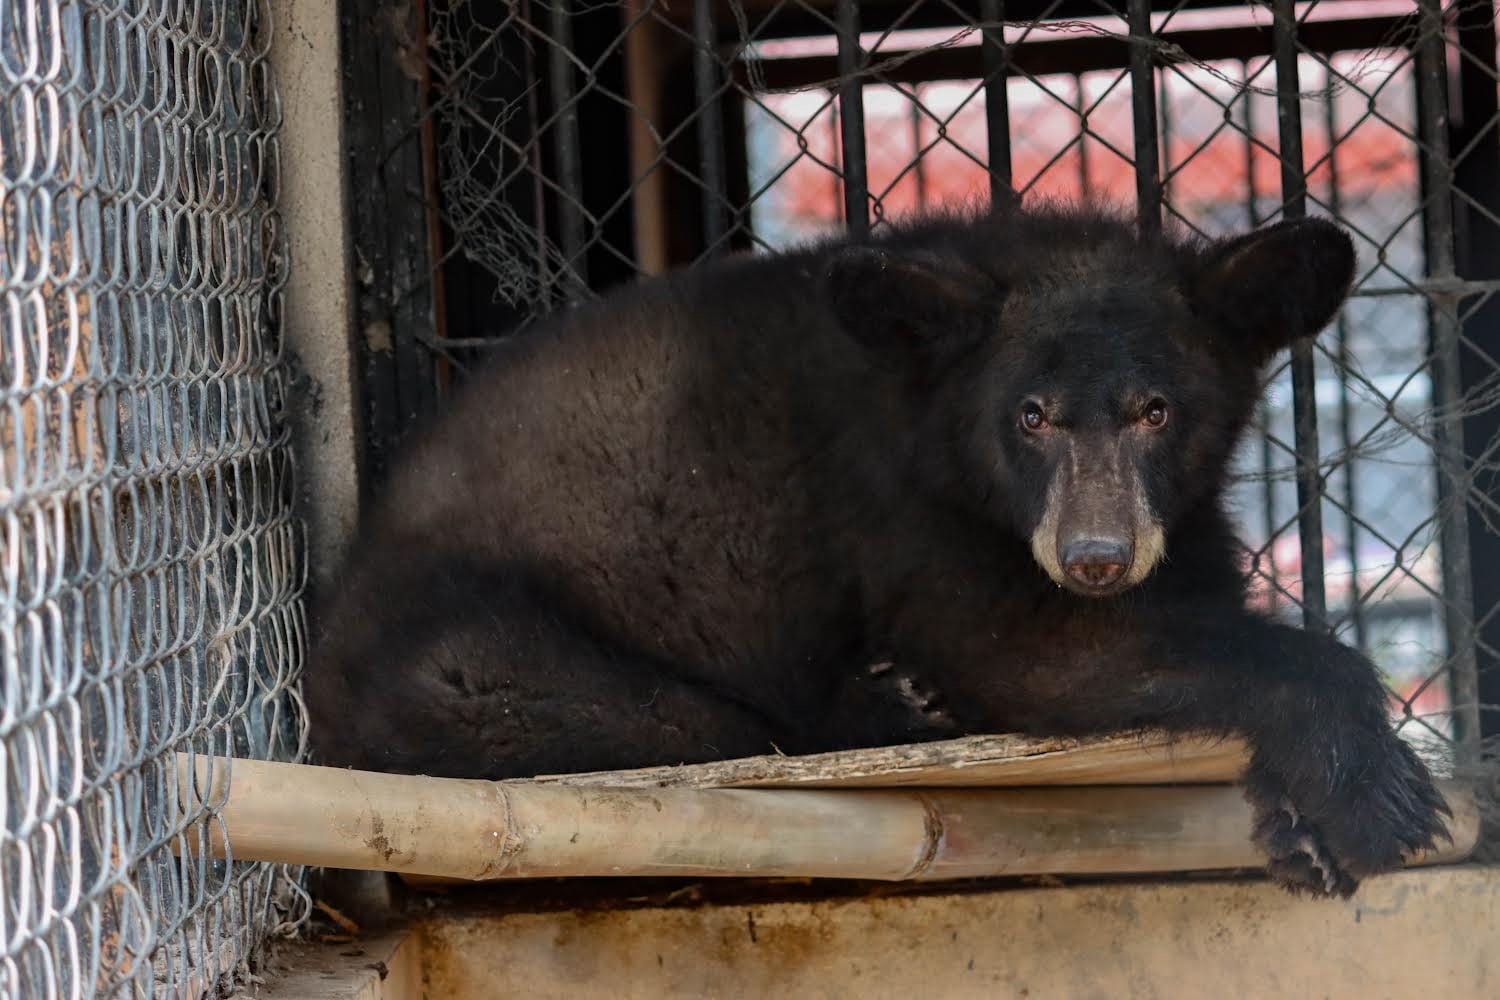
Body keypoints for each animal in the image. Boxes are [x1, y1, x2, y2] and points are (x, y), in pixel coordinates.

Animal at [307, 197, 1452, 899]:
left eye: (1156, 410)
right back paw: (891, 698)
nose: (1095, 557)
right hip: (474, 661)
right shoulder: (906, 518)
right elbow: (1030, 651)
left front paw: (1298, 821)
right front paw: (1375, 790)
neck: (937, 424)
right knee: (682, 714)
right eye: (1030, 415)